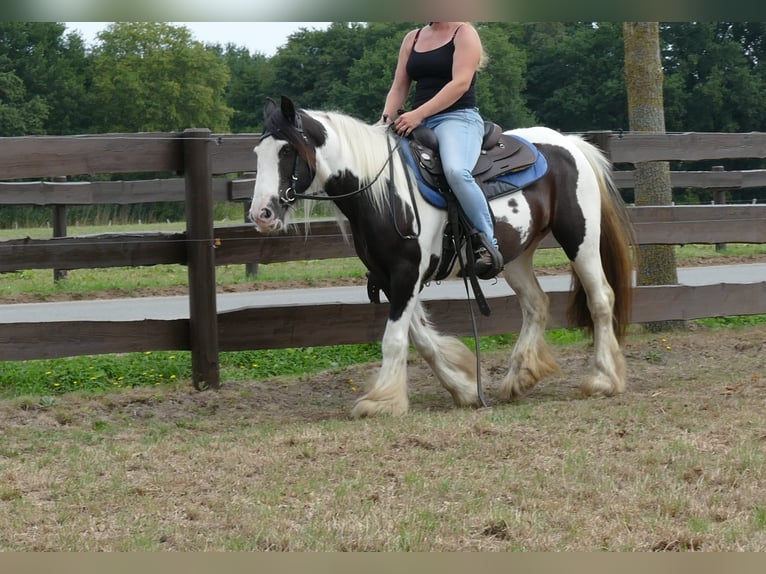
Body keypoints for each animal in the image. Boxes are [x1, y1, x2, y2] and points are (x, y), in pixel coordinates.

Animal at [250, 97, 636, 420]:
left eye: (287, 150)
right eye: (258, 152)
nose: (261, 214)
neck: (384, 192)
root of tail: (570, 144)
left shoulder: (406, 274)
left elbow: (394, 339)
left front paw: (381, 401)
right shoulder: (390, 278)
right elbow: (420, 339)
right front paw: (464, 389)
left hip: (580, 239)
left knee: (601, 300)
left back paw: (603, 379)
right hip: (516, 257)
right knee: (536, 304)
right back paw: (520, 378)